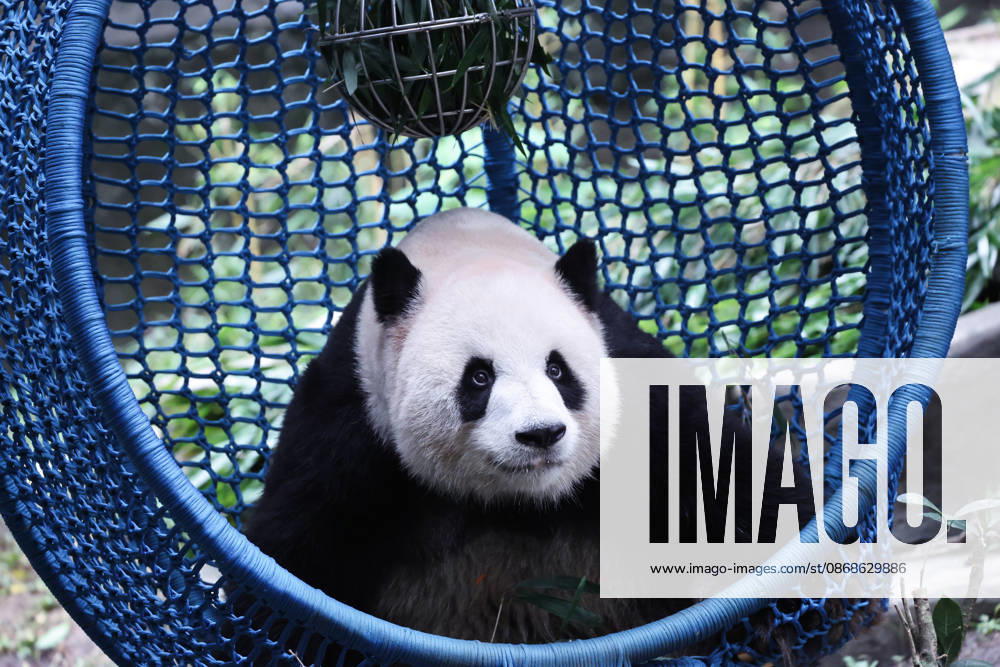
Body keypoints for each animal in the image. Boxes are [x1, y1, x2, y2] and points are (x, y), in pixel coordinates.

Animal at [244, 208, 875, 653]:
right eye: (478, 377)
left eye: (557, 369)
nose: (541, 435)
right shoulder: (351, 427)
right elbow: (295, 549)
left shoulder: (637, 385)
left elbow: (725, 485)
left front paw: (798, 611)